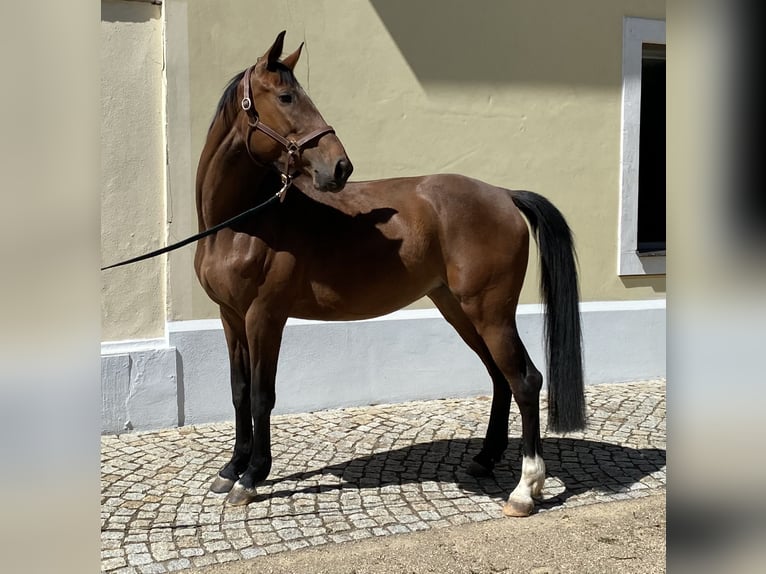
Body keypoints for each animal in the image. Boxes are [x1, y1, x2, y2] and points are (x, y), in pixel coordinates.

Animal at [194, 31, 585, 517]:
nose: (340, 167)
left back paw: (525, 489)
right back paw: (484, 459)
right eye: (286, 97)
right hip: (460, 310)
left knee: (525, 380)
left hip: (490, 312)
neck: (242, 224)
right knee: (501, 377)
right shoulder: (231, 317)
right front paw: (231, 469)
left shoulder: (264, 317)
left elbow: (262, 397)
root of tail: (503, 194)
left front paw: (251, 478)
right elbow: (239, 391)